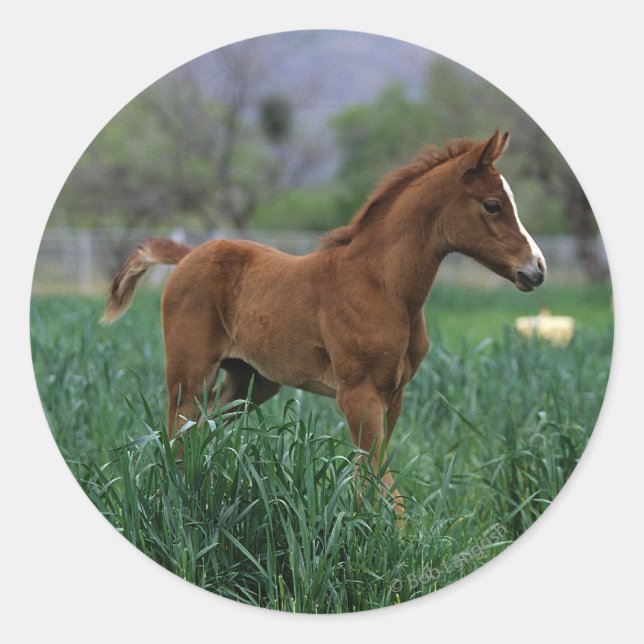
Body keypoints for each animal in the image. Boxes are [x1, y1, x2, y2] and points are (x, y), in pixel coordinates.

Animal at [101, 129, 546, 517]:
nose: (537, 269)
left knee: (201, 433)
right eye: (492, 205)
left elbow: (372, 476)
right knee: (176, 437)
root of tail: (187, 256)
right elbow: (378, 478)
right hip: (188, 374)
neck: (383, 285)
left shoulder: (393, 396)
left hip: (249, 381)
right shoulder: (358, 394)